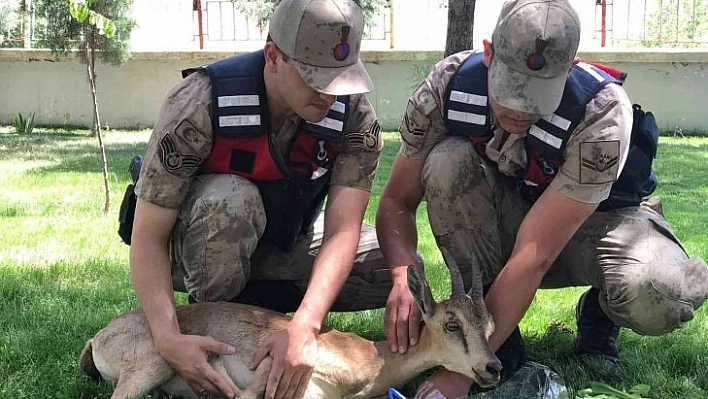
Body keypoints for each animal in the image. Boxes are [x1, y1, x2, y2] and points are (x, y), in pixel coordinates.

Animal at [80, 264, 500, 398]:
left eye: (490, 324)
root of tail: (98, 337)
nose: (492, 368)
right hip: (152, 366)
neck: (370, 360)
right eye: (452, 323)